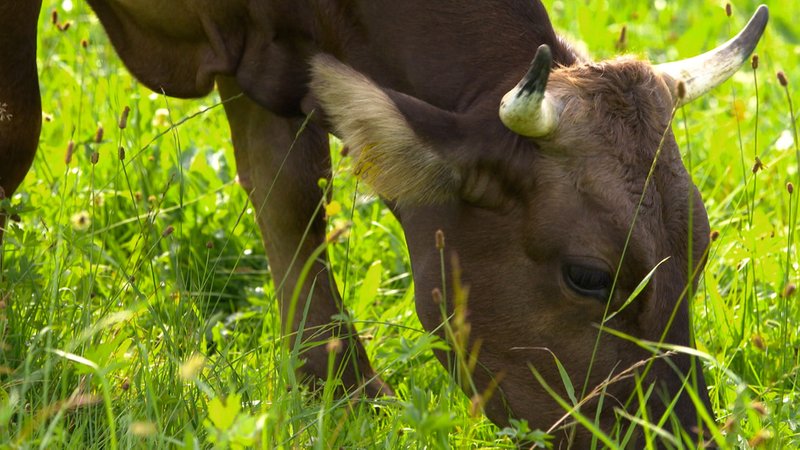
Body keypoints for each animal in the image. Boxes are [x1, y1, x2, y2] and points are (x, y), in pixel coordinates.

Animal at [0, 1, 768, 447]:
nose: (686, 440)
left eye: (701, 251)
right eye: (587, 275)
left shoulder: (269, 49)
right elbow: (17, 130)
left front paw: (341, 394)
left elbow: (288, 193)